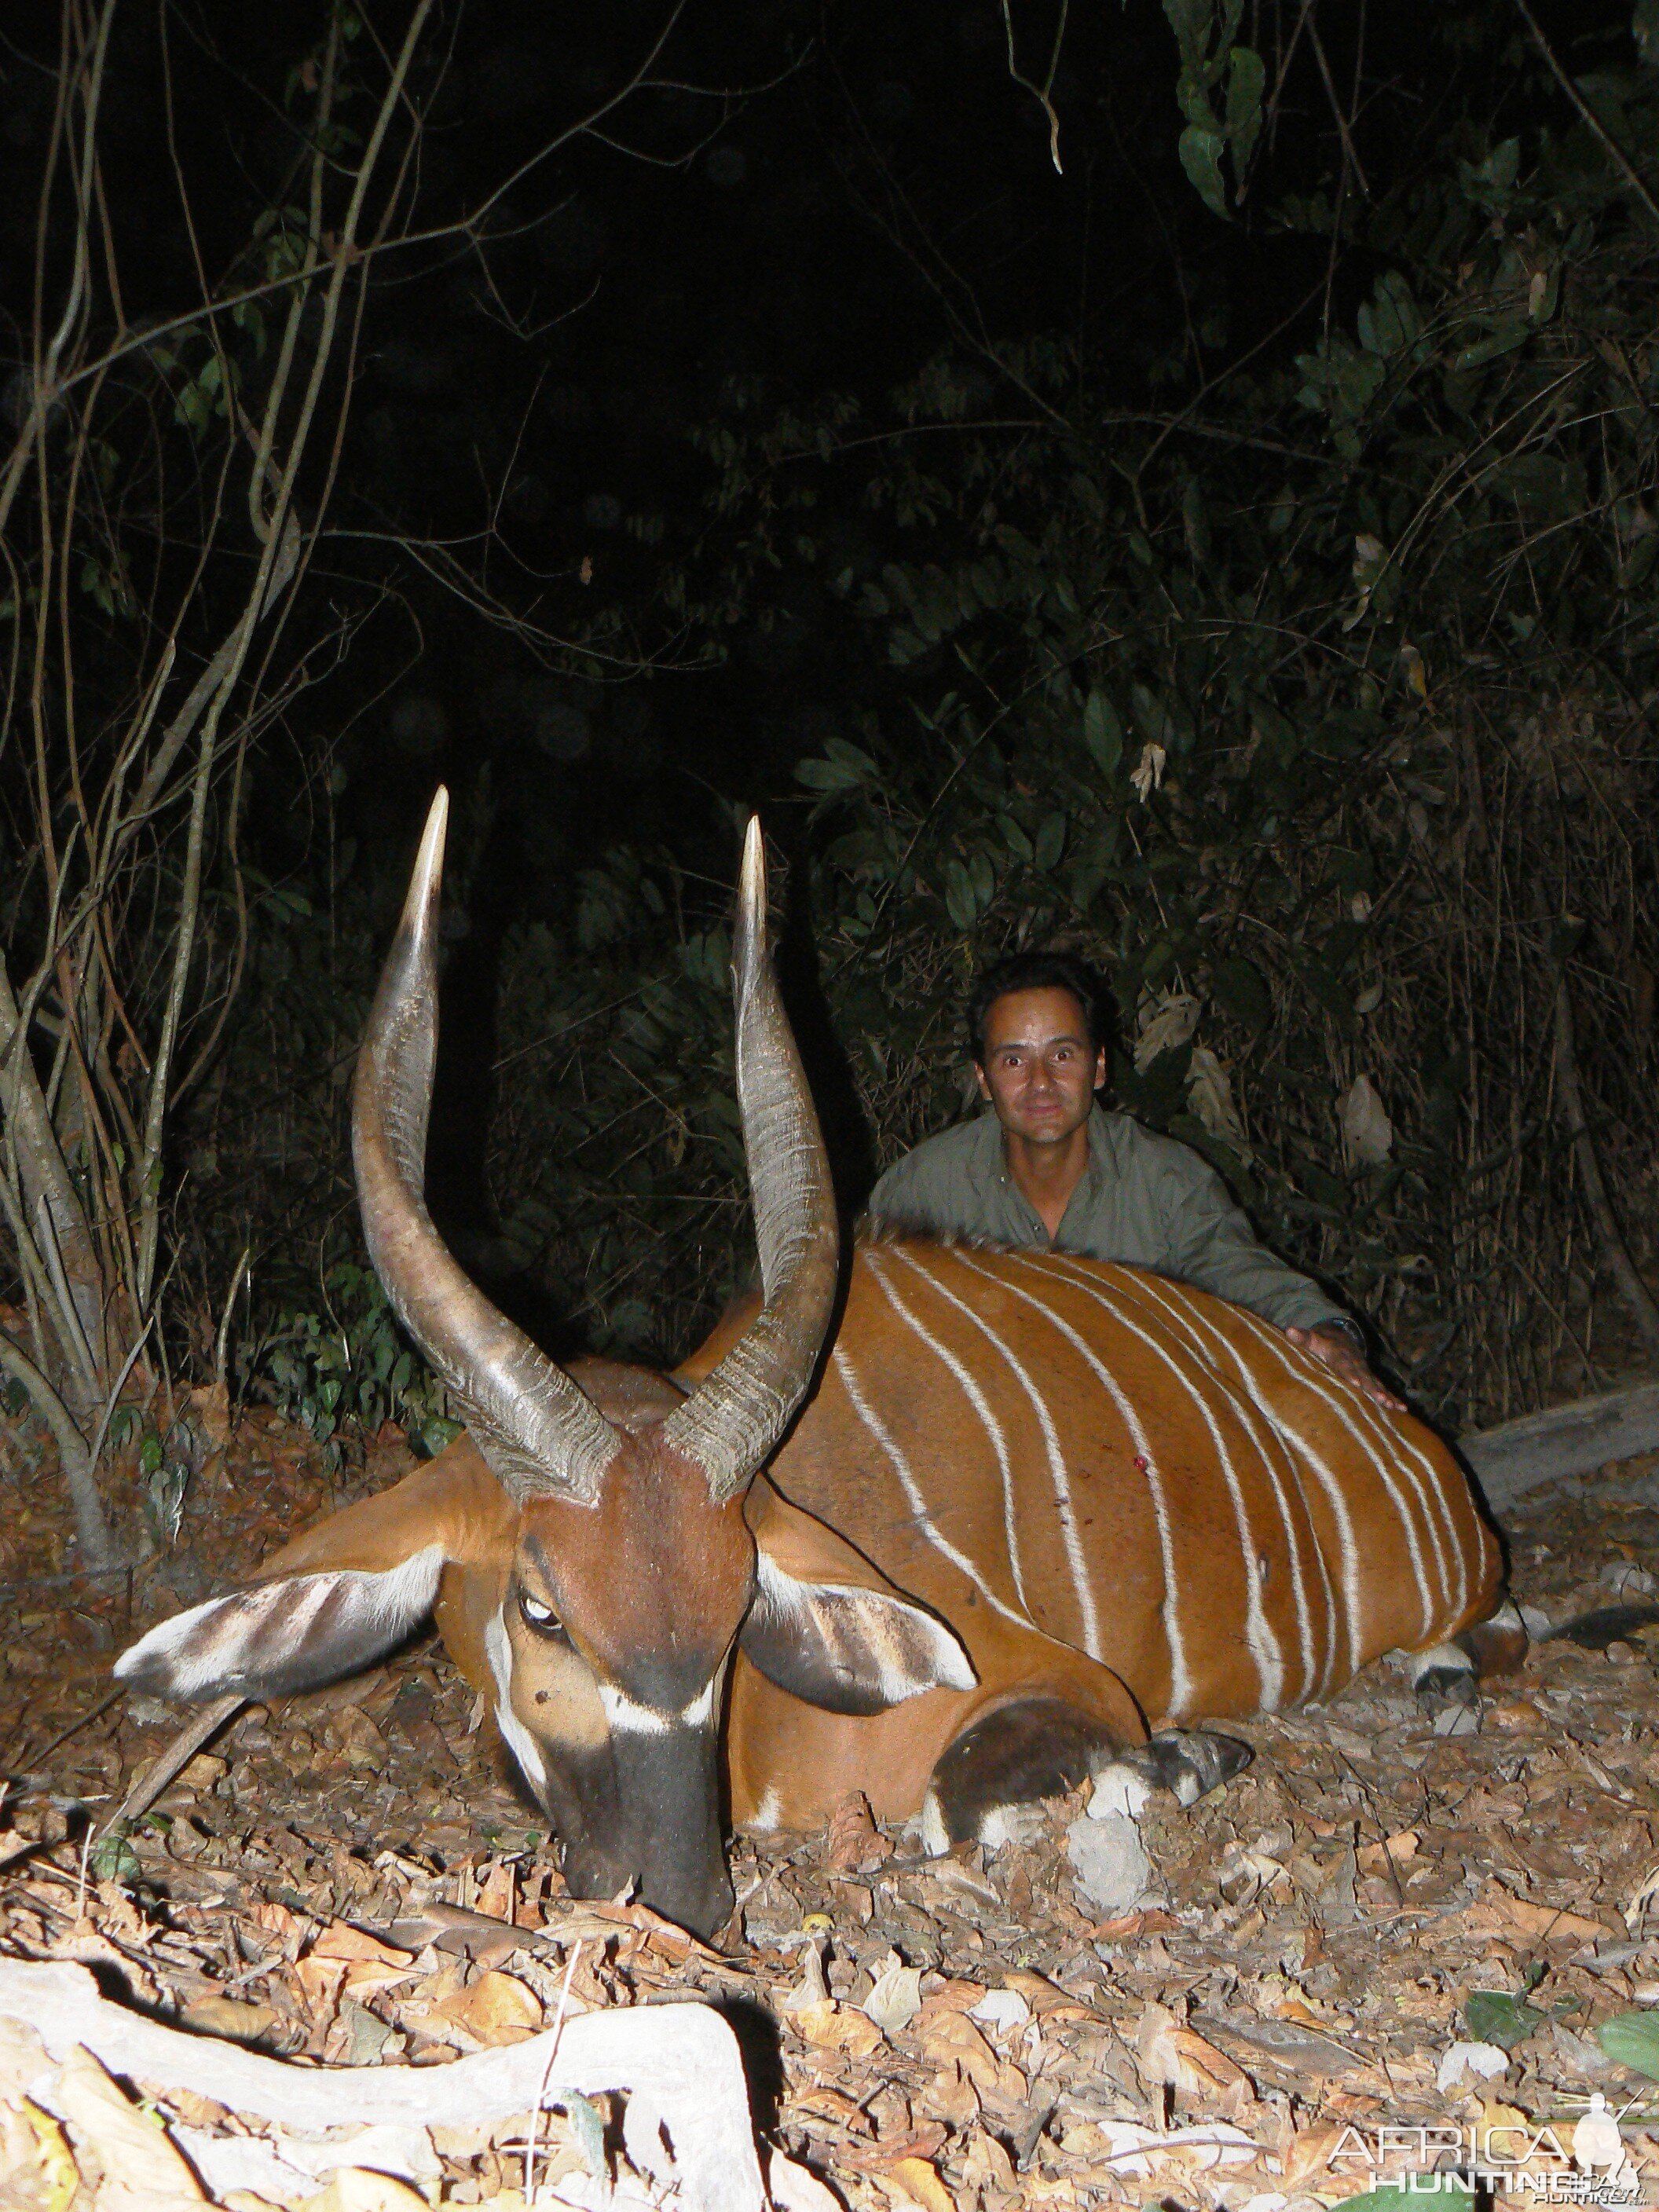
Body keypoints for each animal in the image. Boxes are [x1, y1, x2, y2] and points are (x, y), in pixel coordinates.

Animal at [114, 796, 1522, 1937]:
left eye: (742, 1606)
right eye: (542, 1609)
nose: (681, 1897)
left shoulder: (1042, 1687)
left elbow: (990, 1794)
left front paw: (1193, 1758)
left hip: (1451, 1586)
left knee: (1494, 1626)